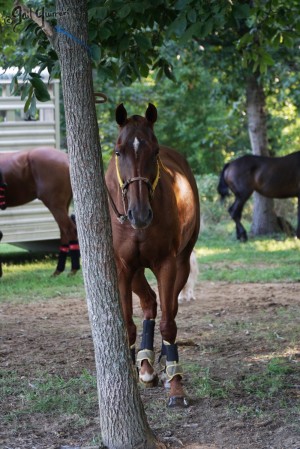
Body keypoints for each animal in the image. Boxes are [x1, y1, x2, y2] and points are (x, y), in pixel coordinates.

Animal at [105, 104, 199, 406]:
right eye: (118, 151)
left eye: (154, 152)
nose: (140, 214)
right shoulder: (122, 267)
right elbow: (127, 325)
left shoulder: (167, 264)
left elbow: (169, 324)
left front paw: (176, 386)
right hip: (134, 271)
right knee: (148, 303)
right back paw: (145, 366)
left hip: (182, 263)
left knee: (168, 308)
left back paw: (163, 365)